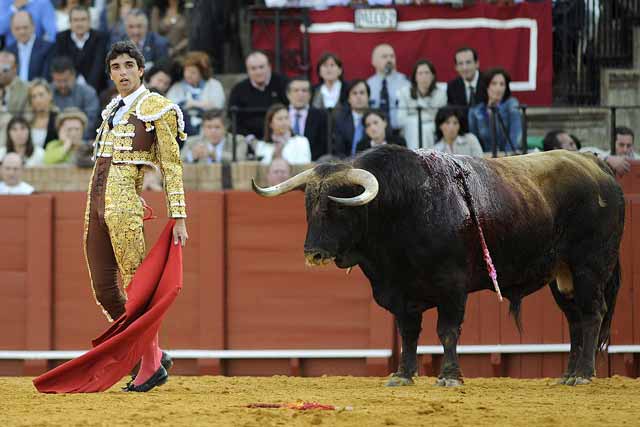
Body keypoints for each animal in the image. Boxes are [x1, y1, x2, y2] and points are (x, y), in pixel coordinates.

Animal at [252, 146, 624, 388]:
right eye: (308, 206)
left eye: (338, 206)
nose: (313, 253)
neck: (402, 208)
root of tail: (599, 167)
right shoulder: (401, 292)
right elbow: (408, 333)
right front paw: (403, 375)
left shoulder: (452, 287)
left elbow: (447, 331)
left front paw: (448, 377)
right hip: (561, 275)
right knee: (575, 320)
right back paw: (568, 374)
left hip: (589, 266)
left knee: (593, 314)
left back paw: (583, 375)